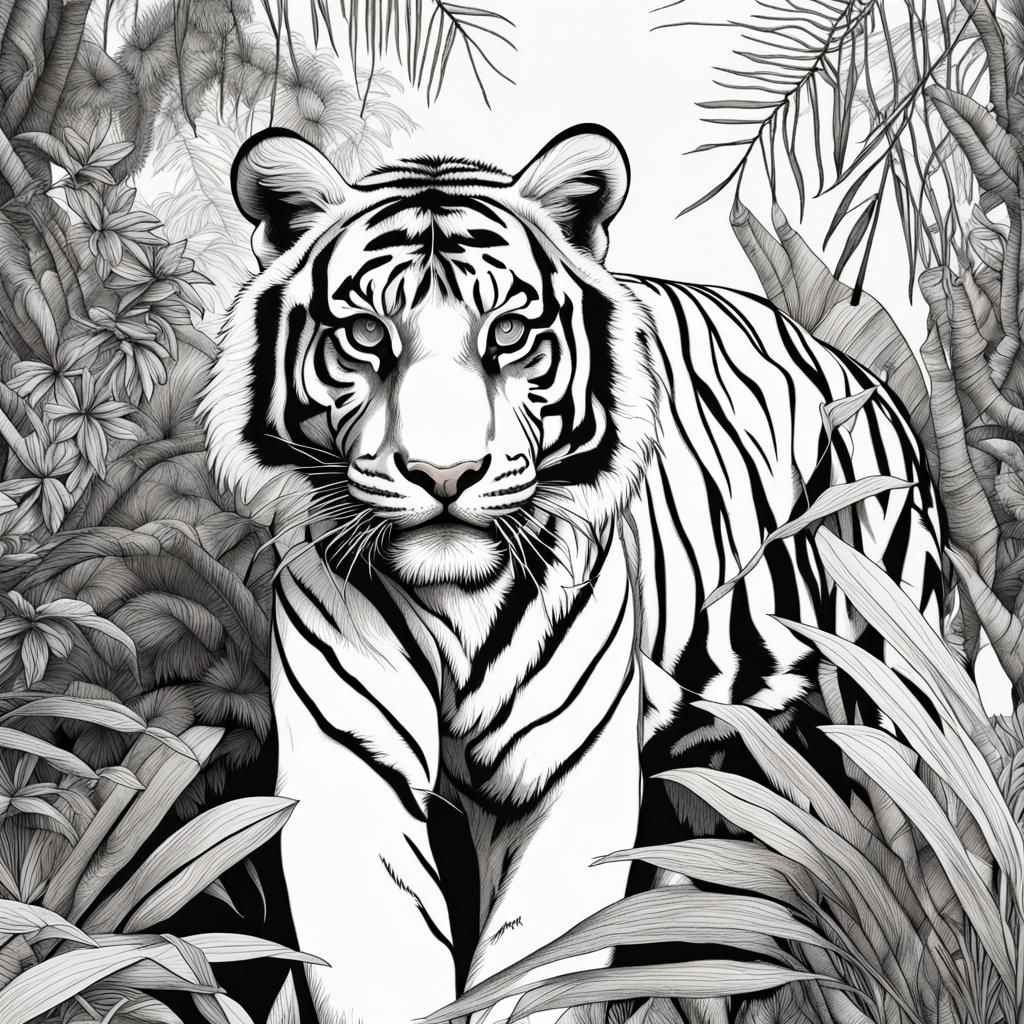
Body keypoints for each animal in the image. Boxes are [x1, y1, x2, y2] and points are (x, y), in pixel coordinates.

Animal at [200, 123, 945, 1024]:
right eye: (369, 335)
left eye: (509, 334)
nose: (444, 473)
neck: (455, 602)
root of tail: (863, 377)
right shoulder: (354, 768)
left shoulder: (568, 780)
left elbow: (536, 973)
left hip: (881, 718)